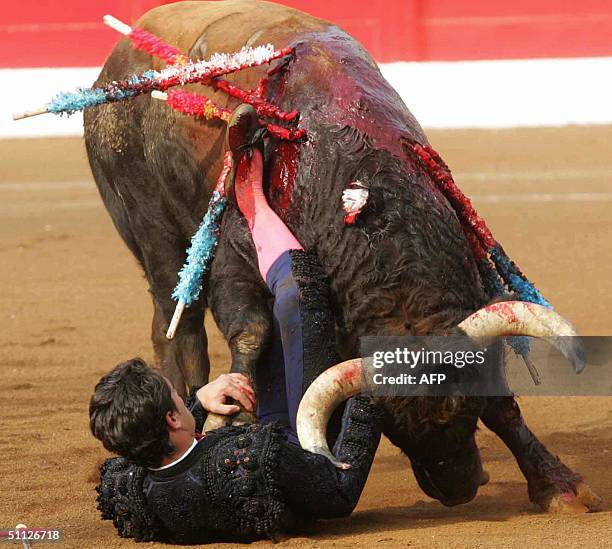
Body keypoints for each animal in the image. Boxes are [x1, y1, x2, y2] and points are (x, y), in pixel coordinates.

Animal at [83, 1, 600, 512]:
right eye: (392, 428)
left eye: (465, 409)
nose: (459, 489)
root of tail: (115, 62)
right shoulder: (234, 257)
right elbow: (252, 330)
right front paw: (227, 419)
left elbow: (504, 406)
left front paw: (559, 485)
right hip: (152, 229)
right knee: (176, 322)